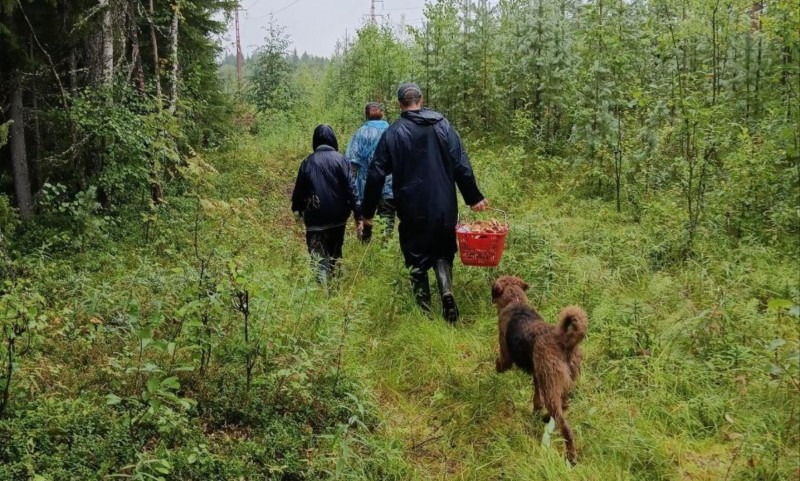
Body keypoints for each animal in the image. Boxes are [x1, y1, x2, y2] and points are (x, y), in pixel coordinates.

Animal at [488, 276, 588, 464]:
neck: (515, 301)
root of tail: (564, 341)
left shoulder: (506, 355)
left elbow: (501, 362)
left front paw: (496, 367)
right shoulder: (537, 373)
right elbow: (536, 396)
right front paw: (536, 410)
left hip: (551, 387)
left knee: (565, 427)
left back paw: (570, 456)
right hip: (564, 381)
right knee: (563, 406)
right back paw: (545, 417)